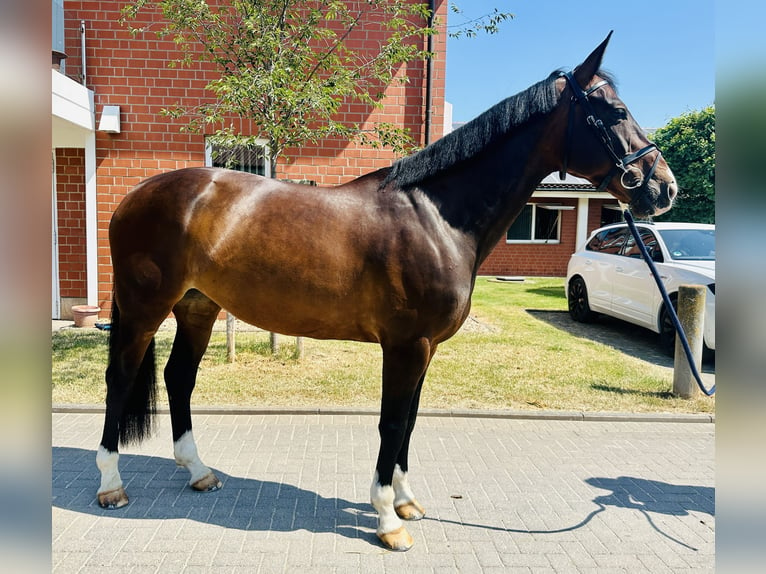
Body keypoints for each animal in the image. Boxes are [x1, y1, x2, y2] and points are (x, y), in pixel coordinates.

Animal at [96, 35, 680, 552]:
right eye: (614, 111)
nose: (664, 188)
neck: (436, 217)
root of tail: (134, 197)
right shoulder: (406, 345)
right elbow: (392, 421)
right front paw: (386, 521)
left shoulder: (426, 348)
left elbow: (411, 422)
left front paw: (404, 501)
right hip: (147, 309)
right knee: (120, 379)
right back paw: (111, 485)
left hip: (199, 307)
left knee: (179, 378)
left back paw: (198, 471)